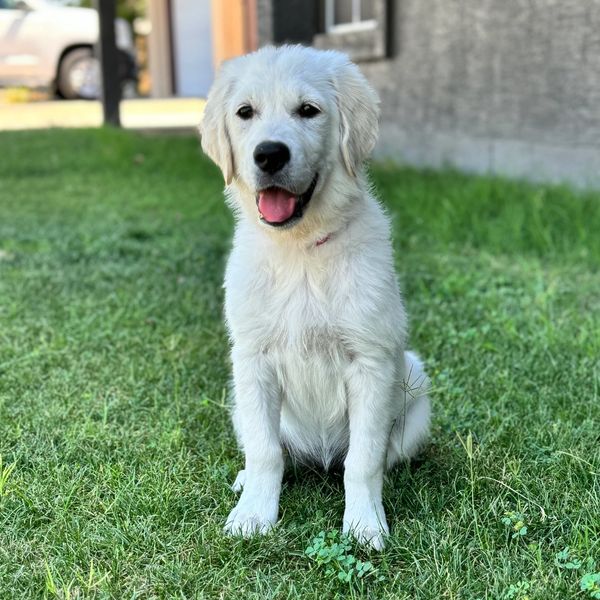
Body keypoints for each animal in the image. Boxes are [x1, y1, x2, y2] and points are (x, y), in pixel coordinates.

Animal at [202, 44, 432, 552]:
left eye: (309, 111)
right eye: (245, 113)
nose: (269, 154)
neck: (301, 249)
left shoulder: (370, 361)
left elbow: (362, 461)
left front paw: (365, 524)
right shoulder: (252, 359)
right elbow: (266, 452)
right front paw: (254, 515)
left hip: (414, 379)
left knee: (372, 456)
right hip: (237, 399)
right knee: (275, 451)